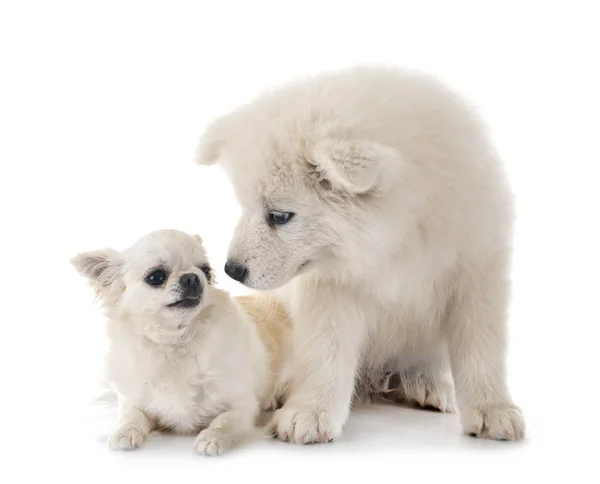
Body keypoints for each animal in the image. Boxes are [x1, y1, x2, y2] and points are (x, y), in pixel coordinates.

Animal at [71, 230, 292, 454]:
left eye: (206, 271)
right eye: (156, 277)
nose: (193, 277)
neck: (176, 342)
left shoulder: (244, 406)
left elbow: (224, 421)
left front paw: (212, 437)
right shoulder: (135, 399)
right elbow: (133, 415)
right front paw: (125, 432)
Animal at [196, 65, 524, 442]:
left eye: (279, 216)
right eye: (244, 208)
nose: (232, 270)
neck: (398, 239)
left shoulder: (476, 272)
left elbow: (480, 349)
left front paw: (493, 409)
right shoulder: (331, 289)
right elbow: (325, 350)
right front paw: (309, 411)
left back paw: (426, 383)